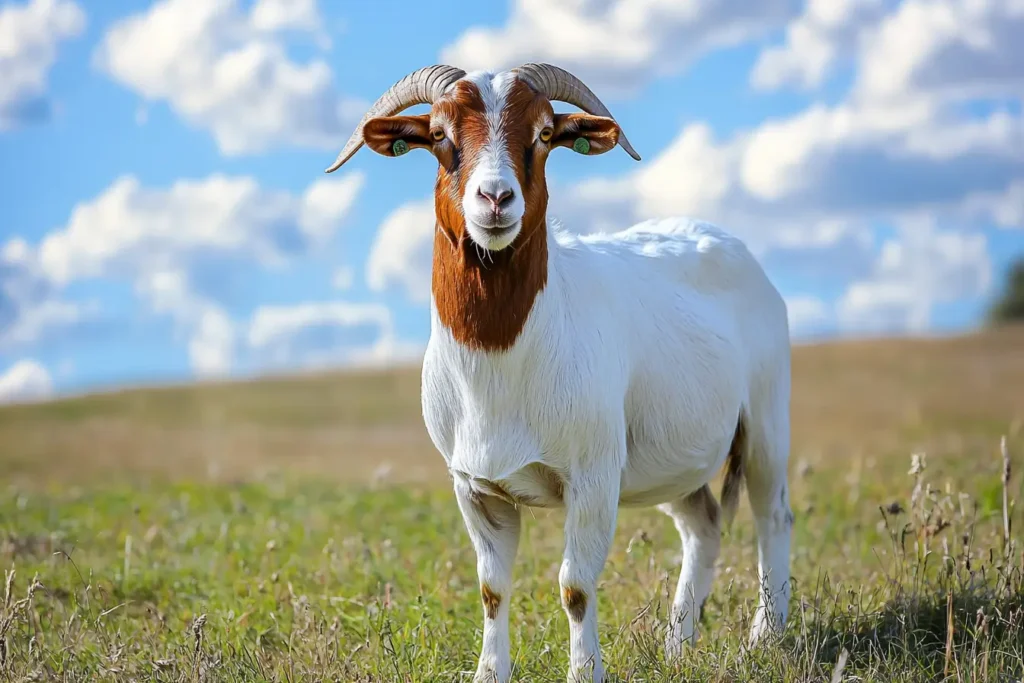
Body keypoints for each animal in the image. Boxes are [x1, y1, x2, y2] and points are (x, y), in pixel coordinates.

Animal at [325, 63, 793, 683]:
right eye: (439, 135)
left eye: (545, 134)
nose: (495, 198)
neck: (500, 371)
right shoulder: (475, 487)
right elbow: (491, 589)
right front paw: (489, 673)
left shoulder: (592, 477)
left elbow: (575, 587)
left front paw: (585, 671)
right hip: (669, 456)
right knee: (705, 523)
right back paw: (677, 645)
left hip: (765, 417)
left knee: (774, 516)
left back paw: (766, 637)